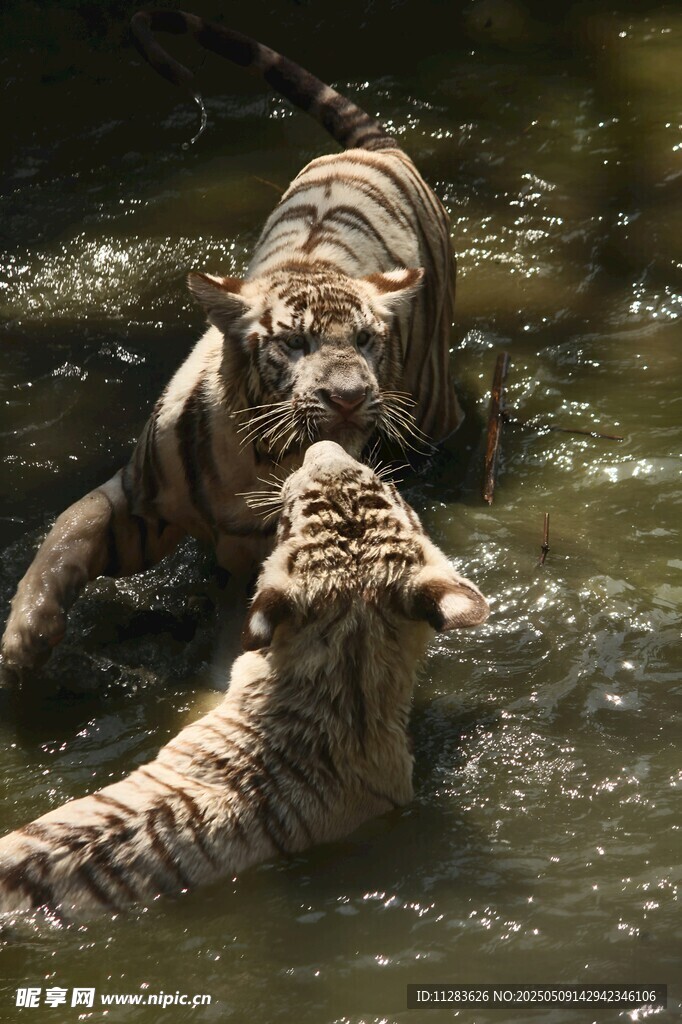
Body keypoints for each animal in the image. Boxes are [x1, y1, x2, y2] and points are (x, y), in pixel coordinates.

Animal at [1, 9, 462, 673]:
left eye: (367, 340)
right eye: (294, 343)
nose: (350, 398)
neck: (254, 457)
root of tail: (377, 151)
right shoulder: (135, 505)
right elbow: (68, 527)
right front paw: (25, 637)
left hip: (431, 403)